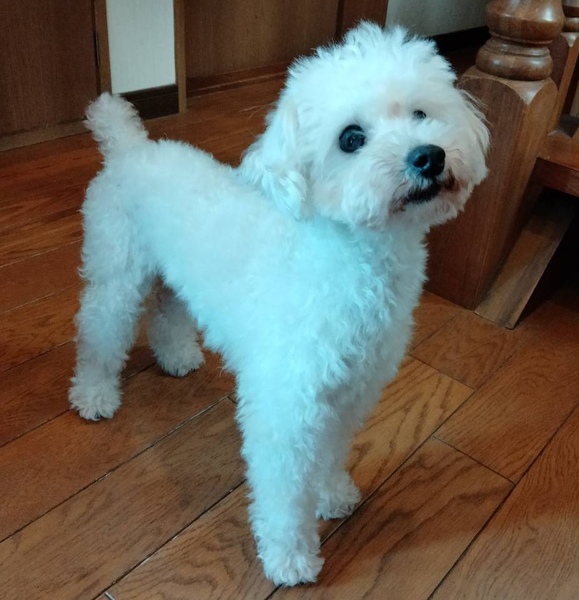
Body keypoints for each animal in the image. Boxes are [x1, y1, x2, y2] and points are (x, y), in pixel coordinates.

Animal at [70, 23, 489, 586]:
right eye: (351, 138)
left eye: (422, 113)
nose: (429, 156)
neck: (349, 263)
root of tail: (130, 147)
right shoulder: (286, 408)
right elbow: (285, 493)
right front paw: (290, 557)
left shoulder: (350, 393)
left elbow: (331, 453)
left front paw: (332, 494)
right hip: (117, 269)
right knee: (100, 329)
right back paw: (94, 394)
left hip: (174, 274)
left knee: (168, 312)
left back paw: (177, 356)